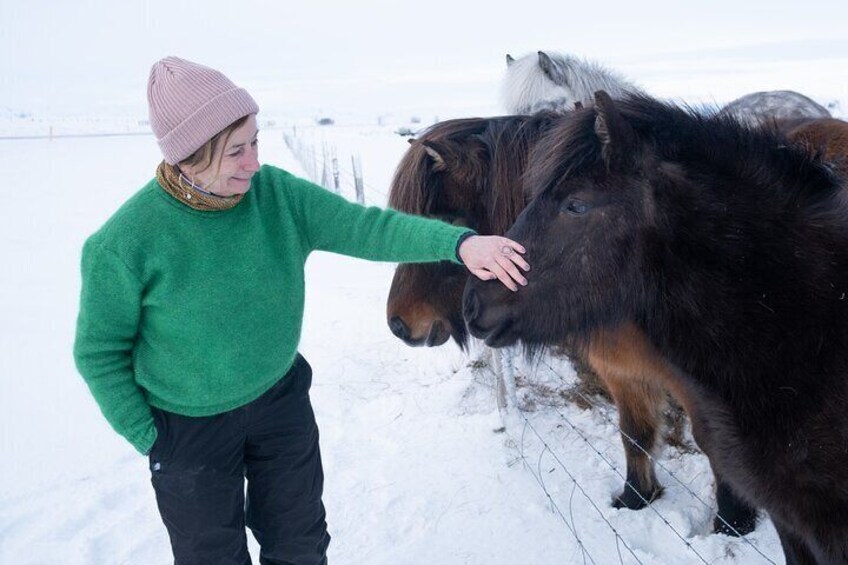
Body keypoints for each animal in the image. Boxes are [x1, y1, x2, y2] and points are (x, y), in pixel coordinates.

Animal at [384, 113, 756, 532]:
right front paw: (636, 499)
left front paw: (733, 524)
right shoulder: (621, 371)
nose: (397, 323)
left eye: (446, 221)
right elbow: (635, 434)